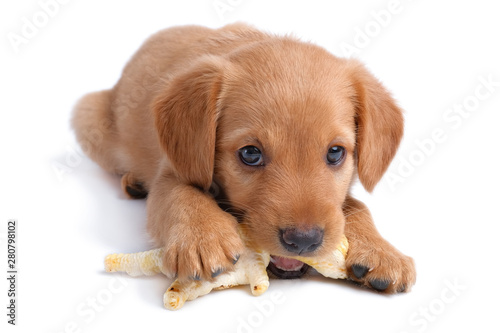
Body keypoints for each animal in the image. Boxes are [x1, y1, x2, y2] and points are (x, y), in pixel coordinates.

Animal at [74, 23, 416, 292]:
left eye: (335, 153)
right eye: (250, 154)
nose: (304, 241)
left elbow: (356, 206)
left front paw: (381, 251)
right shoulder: (173, 169)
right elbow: (180, 194)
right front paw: (202, 237)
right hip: (89, 119)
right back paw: (132, 181)